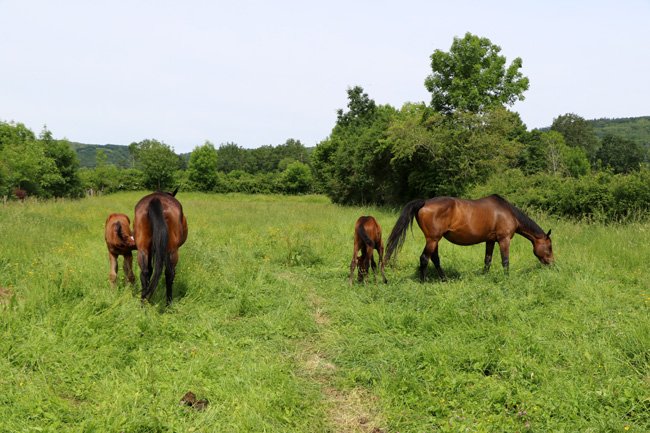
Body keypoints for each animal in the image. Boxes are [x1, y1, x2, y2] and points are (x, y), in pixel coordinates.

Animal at [385, 195, 553, 281]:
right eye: (550, 246)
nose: (552, 263)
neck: (507, 212)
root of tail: (424, 202)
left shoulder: (490, 240)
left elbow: (487, 260)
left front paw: (485, 277)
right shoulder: (504, 239)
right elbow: (505, 261)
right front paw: (507, 279)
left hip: (434, 240)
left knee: (435, 259)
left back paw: (445, 279)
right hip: (432, 239)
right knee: (424, 258)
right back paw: (424, 281)